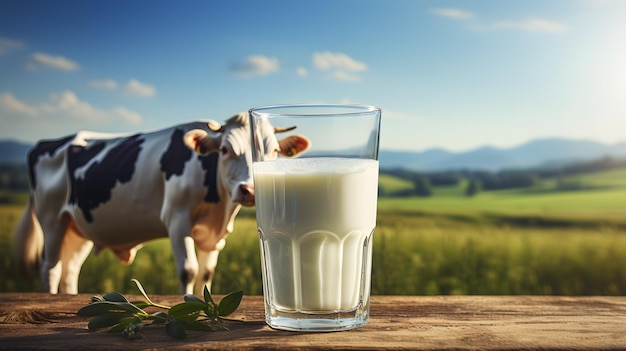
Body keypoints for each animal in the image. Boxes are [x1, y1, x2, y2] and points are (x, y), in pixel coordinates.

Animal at [12, 113, 310, 296]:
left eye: (274, 151)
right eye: (224, 150)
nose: (249, 190)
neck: (219, 209)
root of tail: (46, 143)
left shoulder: (216, 236)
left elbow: (206, 274)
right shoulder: (177, 219)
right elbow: (189, 271)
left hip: (78, 228)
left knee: (69, 271)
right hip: (51, 219)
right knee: (51, 268)